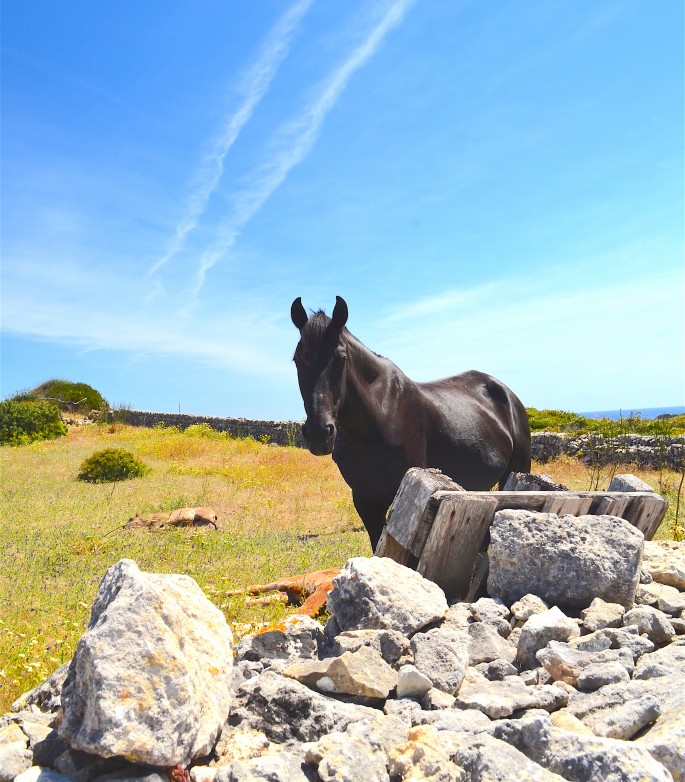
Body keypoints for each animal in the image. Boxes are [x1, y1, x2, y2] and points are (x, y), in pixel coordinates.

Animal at [292, 296, 532, 552]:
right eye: (297, 360)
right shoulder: (366, 501)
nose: (319, 433)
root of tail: (506, 392)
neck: (377, 419)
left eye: (341, 357)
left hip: (517, 473)